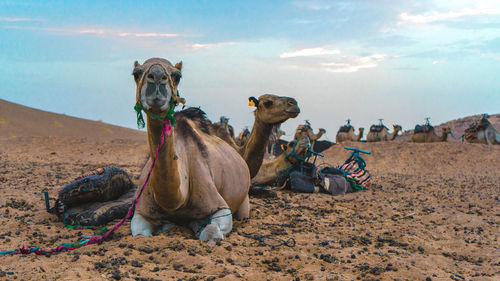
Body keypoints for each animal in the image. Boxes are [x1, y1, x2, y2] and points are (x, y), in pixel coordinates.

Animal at [129, 57, 250, 241]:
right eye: (136, 73)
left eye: (177, 76)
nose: (156, 77)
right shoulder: (141, 212)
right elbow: (139, 235)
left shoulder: (221, 207)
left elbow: (210, 233)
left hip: (244, 200)